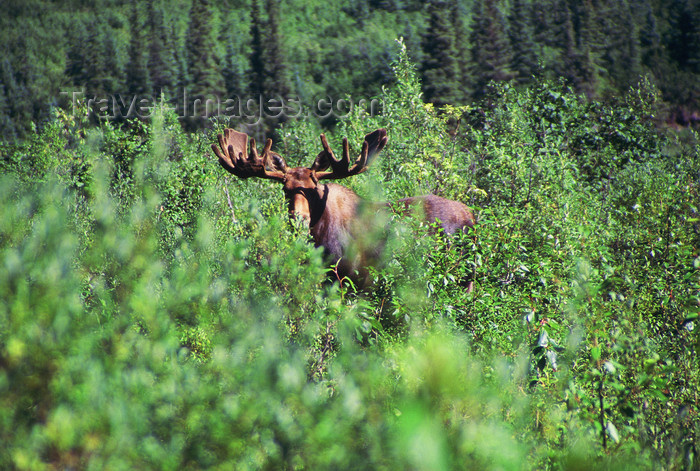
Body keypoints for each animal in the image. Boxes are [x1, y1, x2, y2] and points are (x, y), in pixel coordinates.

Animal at [211, 127, 476, 286]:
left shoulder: (344, 275)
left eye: (313, 189)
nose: (299, 218)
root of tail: (472, 217)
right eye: (286, 190)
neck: (318, 235)